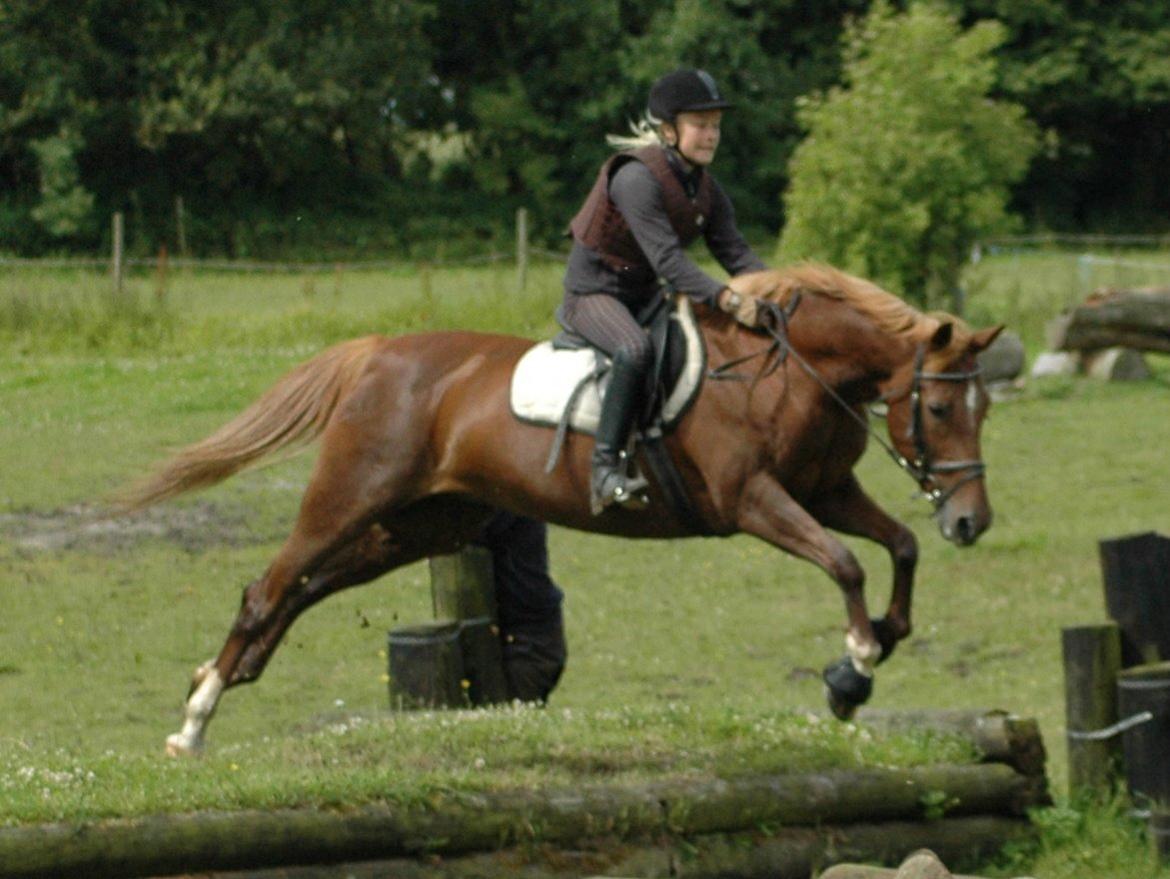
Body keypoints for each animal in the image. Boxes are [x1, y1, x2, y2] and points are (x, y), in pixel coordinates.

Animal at [116, 263, 996, 758]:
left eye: (986, 406)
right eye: (941, 410)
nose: (972, 523)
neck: (788, 371)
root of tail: (377, 352)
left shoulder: (824, 492)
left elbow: (900, 547)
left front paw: (877, 643)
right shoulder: (756, 500)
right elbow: (844, 562)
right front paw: (855, 665)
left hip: (418, 523)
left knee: (298, 589)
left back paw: (221, 678)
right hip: (350, 498)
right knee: (273, 584)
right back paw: (193, 722)